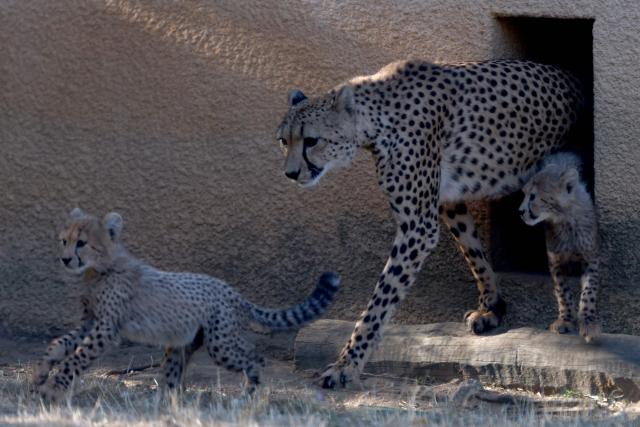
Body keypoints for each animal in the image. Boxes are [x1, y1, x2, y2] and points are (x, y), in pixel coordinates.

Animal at [33, 208, 340, 402]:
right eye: (64, 241)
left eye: (82, 243)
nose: (65, 259)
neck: (99, 269)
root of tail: (233, 291)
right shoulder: (91, 321)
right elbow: (59, 344)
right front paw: (40, 373)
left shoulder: (106, 328)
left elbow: (76, 358)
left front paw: (53, 389)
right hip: (186, 342)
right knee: (174, 375)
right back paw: (165, 403)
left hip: (220, 344)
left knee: (253, 356)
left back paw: (248, 394)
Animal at [275, 59, 583, 388]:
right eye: (284, 140)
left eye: (311, 140)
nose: (291, 173)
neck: (375, 118)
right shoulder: (448, 201)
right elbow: (474, 253)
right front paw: (492, 307)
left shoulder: (418, 227)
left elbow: (381, 299)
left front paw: (347, 364)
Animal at [519, 152, 600, 342]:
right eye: (524, 194)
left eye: (533, 196)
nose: (520, 211)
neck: (565, 219)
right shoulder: (556, 261)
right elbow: (563, 291)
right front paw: (565, 320)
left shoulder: (590, 257)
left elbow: (589, 291)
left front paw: (588, 322)